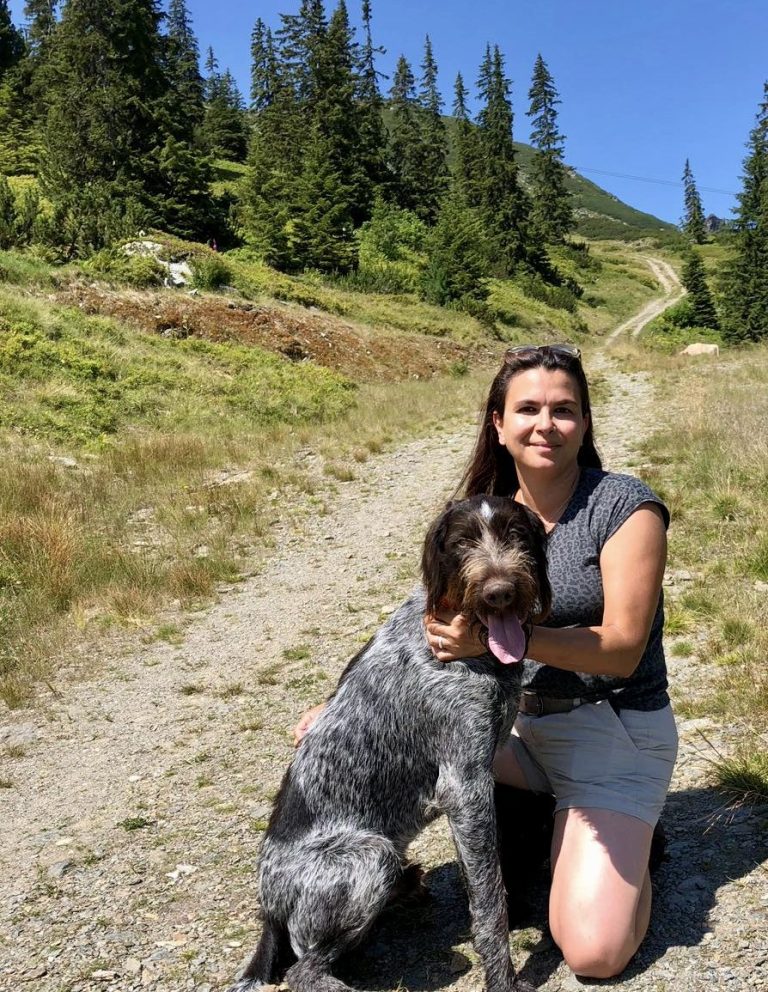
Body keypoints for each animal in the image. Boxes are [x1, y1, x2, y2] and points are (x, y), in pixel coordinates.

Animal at [230, 495, 551, 992]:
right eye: (462, 543)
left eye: (516, 534)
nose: (499, 592)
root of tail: (269, 908)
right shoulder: (466, 786)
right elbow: (489, 902)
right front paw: (503, 979)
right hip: (369, 856)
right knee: (303, 971)